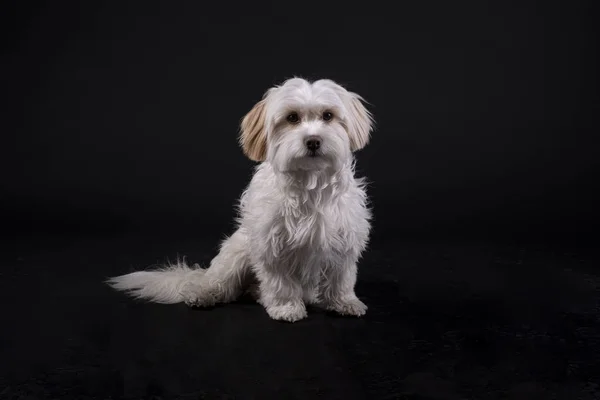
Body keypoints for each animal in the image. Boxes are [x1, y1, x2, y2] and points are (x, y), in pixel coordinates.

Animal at [105, 78, 372, 322]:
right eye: (292, 118)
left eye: (328, 116)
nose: (313, 141)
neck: (310, 183)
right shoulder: (271, 244)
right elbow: (280, 281)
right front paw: (286, 307)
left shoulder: (345, 241)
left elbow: (341, 278)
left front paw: (343, 302)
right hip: (236, 254)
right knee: (221, 284)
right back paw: (203, 293)